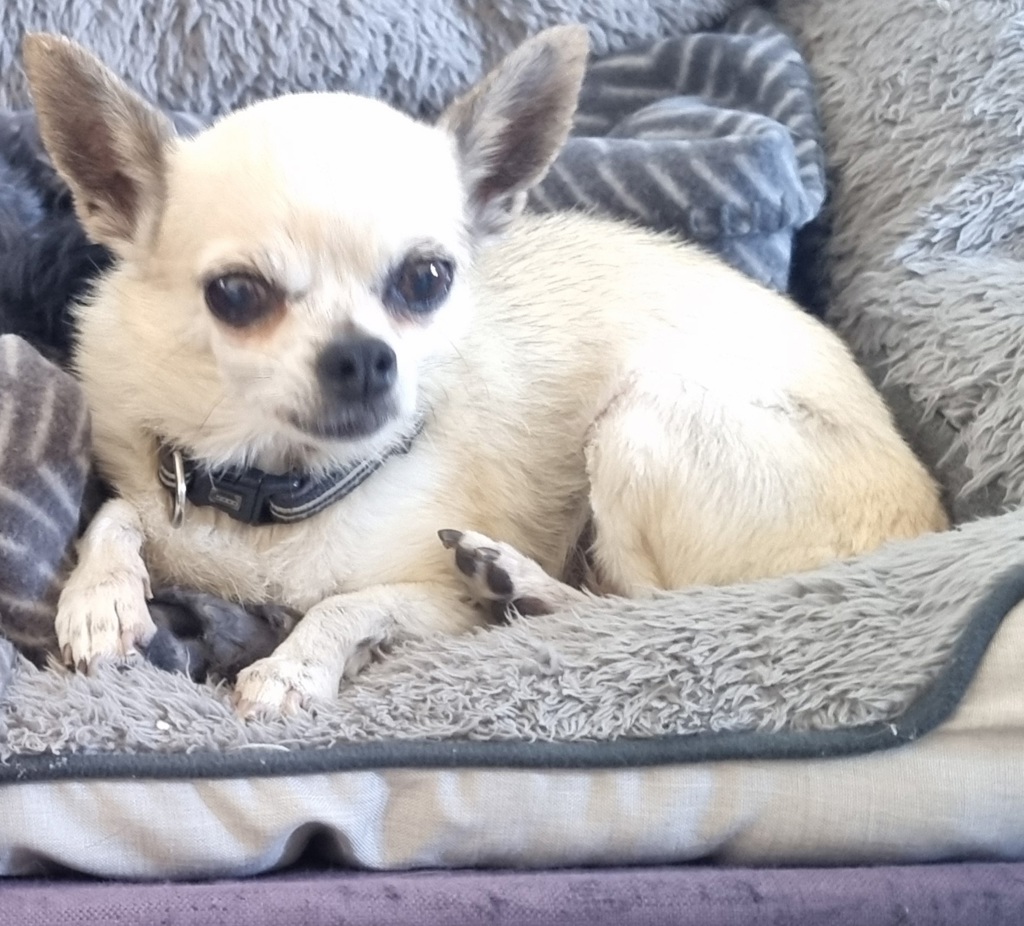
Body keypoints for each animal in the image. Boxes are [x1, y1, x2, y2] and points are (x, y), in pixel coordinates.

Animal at [22, 27, 948, 715]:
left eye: (427, 280)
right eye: (237, 295)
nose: (363, 355)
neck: (279, 489)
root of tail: (926, 524)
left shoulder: (441, 609)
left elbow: (348, 603)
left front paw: (291, 667)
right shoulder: (161, 493)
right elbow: (119, 515)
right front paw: (101, 597)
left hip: (645, 421)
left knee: (650, 613)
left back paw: (523, 585)